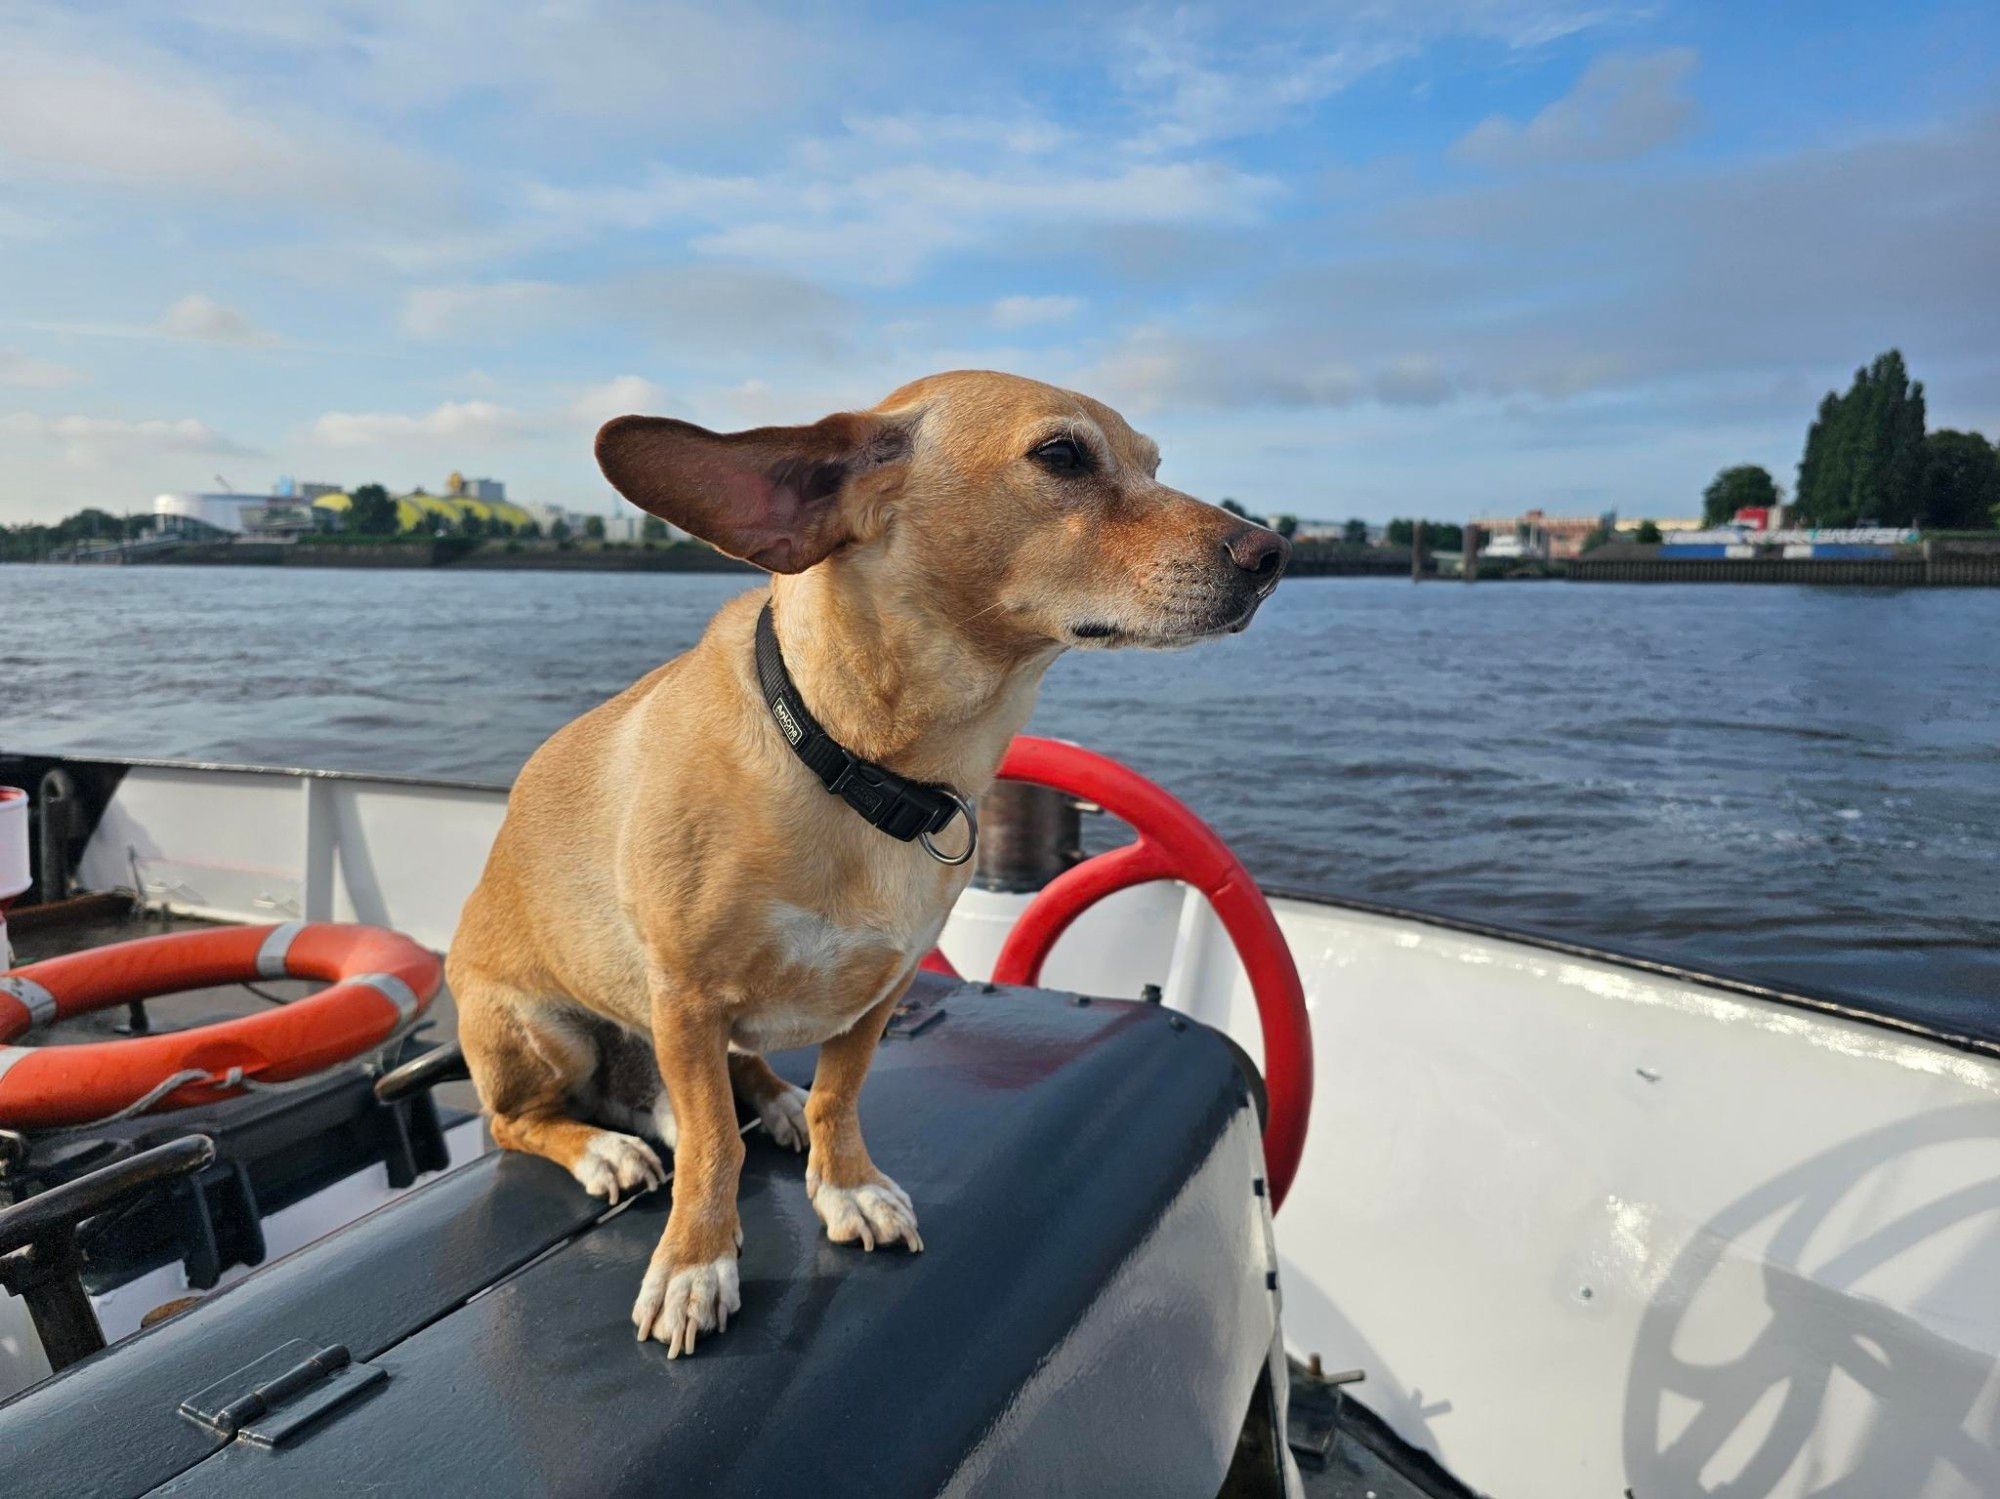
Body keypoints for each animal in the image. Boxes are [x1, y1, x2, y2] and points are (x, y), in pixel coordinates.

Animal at [446, 369, 1288, 1359]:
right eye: (1062, 455)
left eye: (1155, 463)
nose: (1273, 551)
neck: (859, 764)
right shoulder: (686, 1000)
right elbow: (712, 1146)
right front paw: (696, 1262)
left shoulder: (879, 990)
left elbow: (836, 1098)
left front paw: (845, 1184)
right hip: (546, 1028)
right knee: (521, 1119)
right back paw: (604, 1147)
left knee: (738, 1080)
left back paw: (768, 1097)